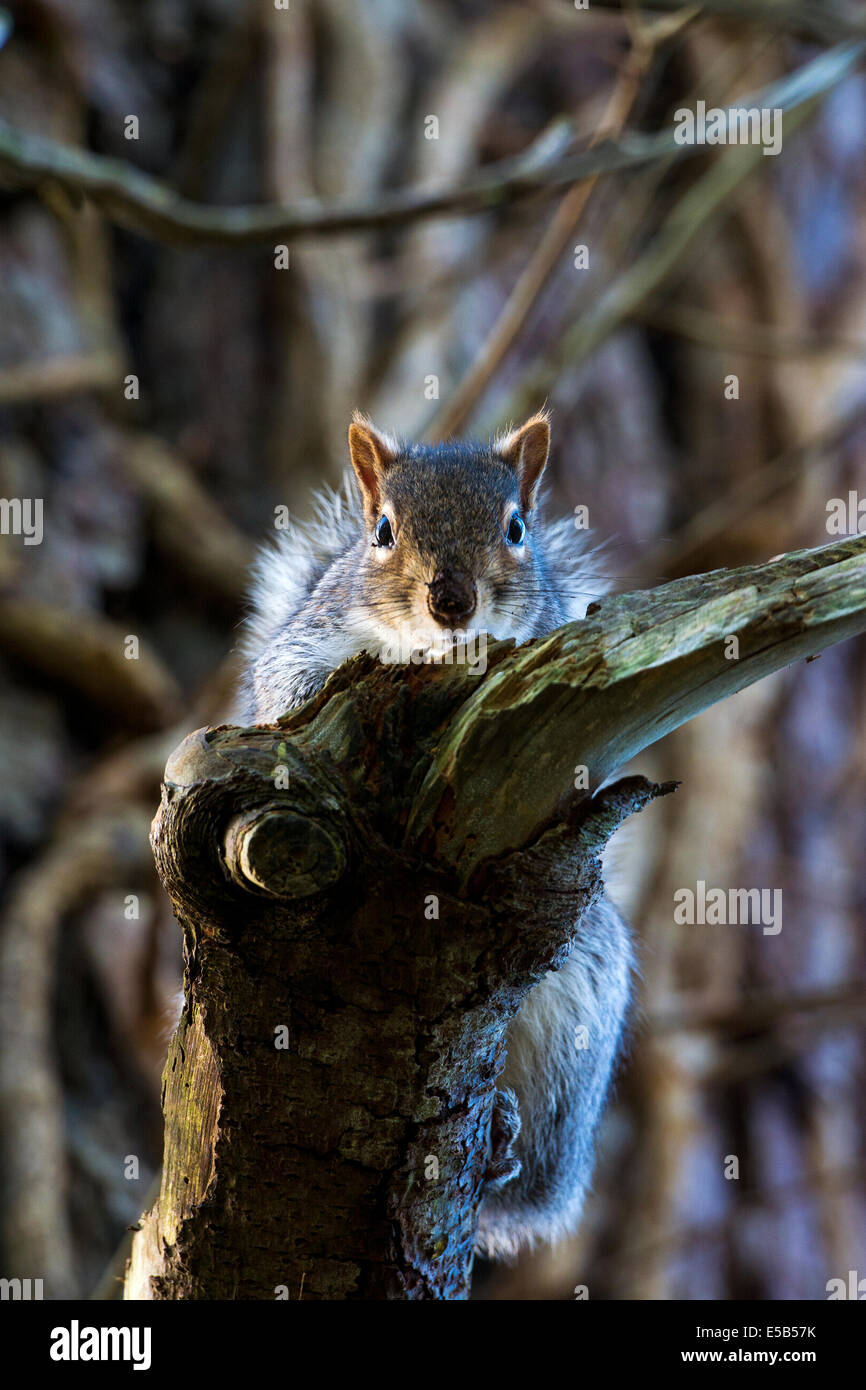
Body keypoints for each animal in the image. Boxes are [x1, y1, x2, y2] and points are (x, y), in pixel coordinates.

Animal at [233, 408, 633, 1262]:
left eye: (517, 528)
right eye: (383, 530)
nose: (452, 599)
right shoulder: (303, 651)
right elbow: (290, 701)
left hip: (575, 1020)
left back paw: (508, 1142)